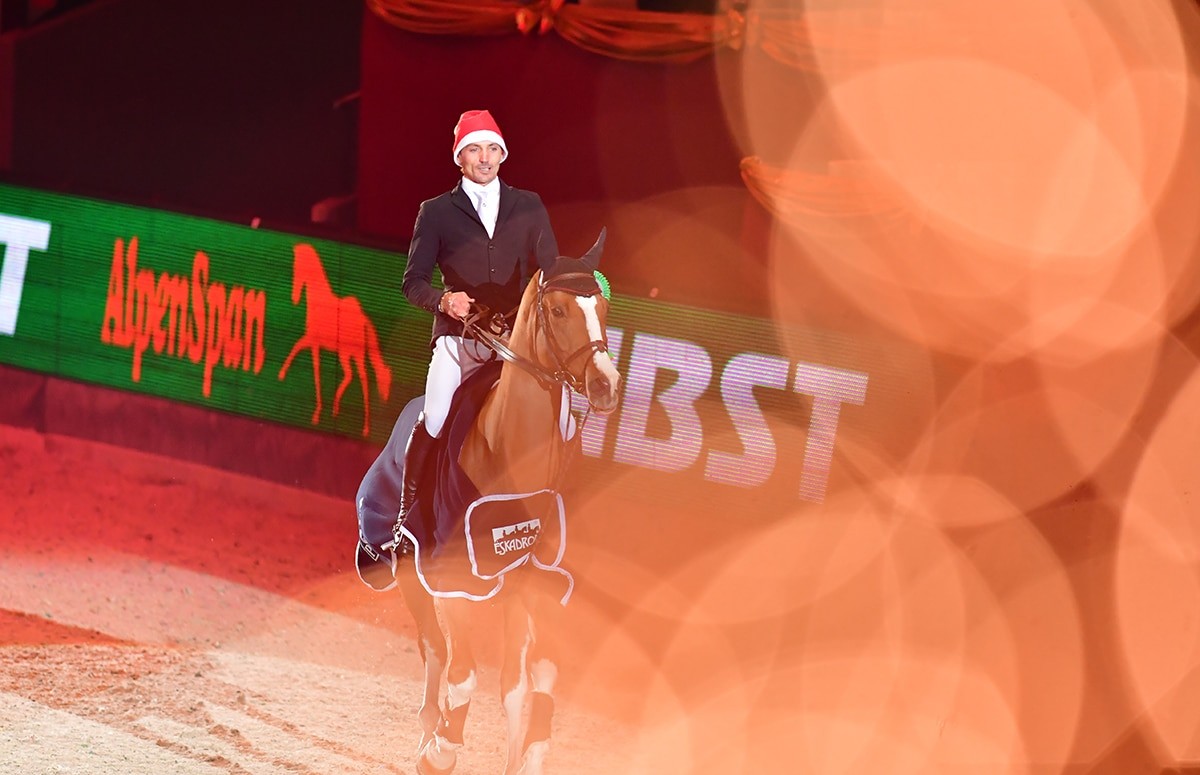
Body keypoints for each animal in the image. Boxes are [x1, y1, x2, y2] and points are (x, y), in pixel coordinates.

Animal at [388, 230, 624, 775]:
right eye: (557, 310)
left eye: (603, 306)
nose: (606, 386)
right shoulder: (455, 581)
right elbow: (463, 673)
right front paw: (441, 749)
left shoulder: (535, 583)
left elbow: (526, 685)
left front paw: (528, 752)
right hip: (412, 570)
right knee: (434, 648)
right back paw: (429, 729)